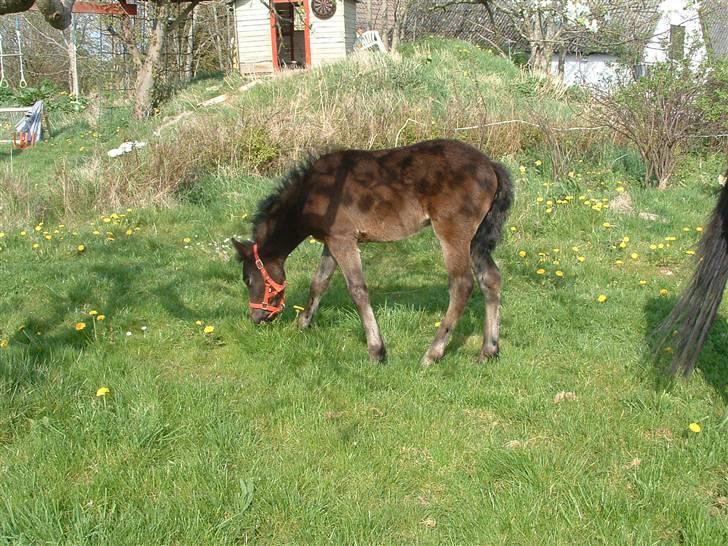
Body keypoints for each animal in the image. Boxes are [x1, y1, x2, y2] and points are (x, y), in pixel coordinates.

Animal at [233, 138, 512, 364]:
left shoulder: (343, 240)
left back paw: (432, 354)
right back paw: (488, 351)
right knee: (491, 279)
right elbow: (319, 283)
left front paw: (377, 351)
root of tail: (490, 165)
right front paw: (302, 324)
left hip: (453, 233)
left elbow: (357, 290)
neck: (311, 192)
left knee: (462, 284)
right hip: (475, 239)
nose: (256, 317)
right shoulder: (332, 242)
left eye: (248, 279)